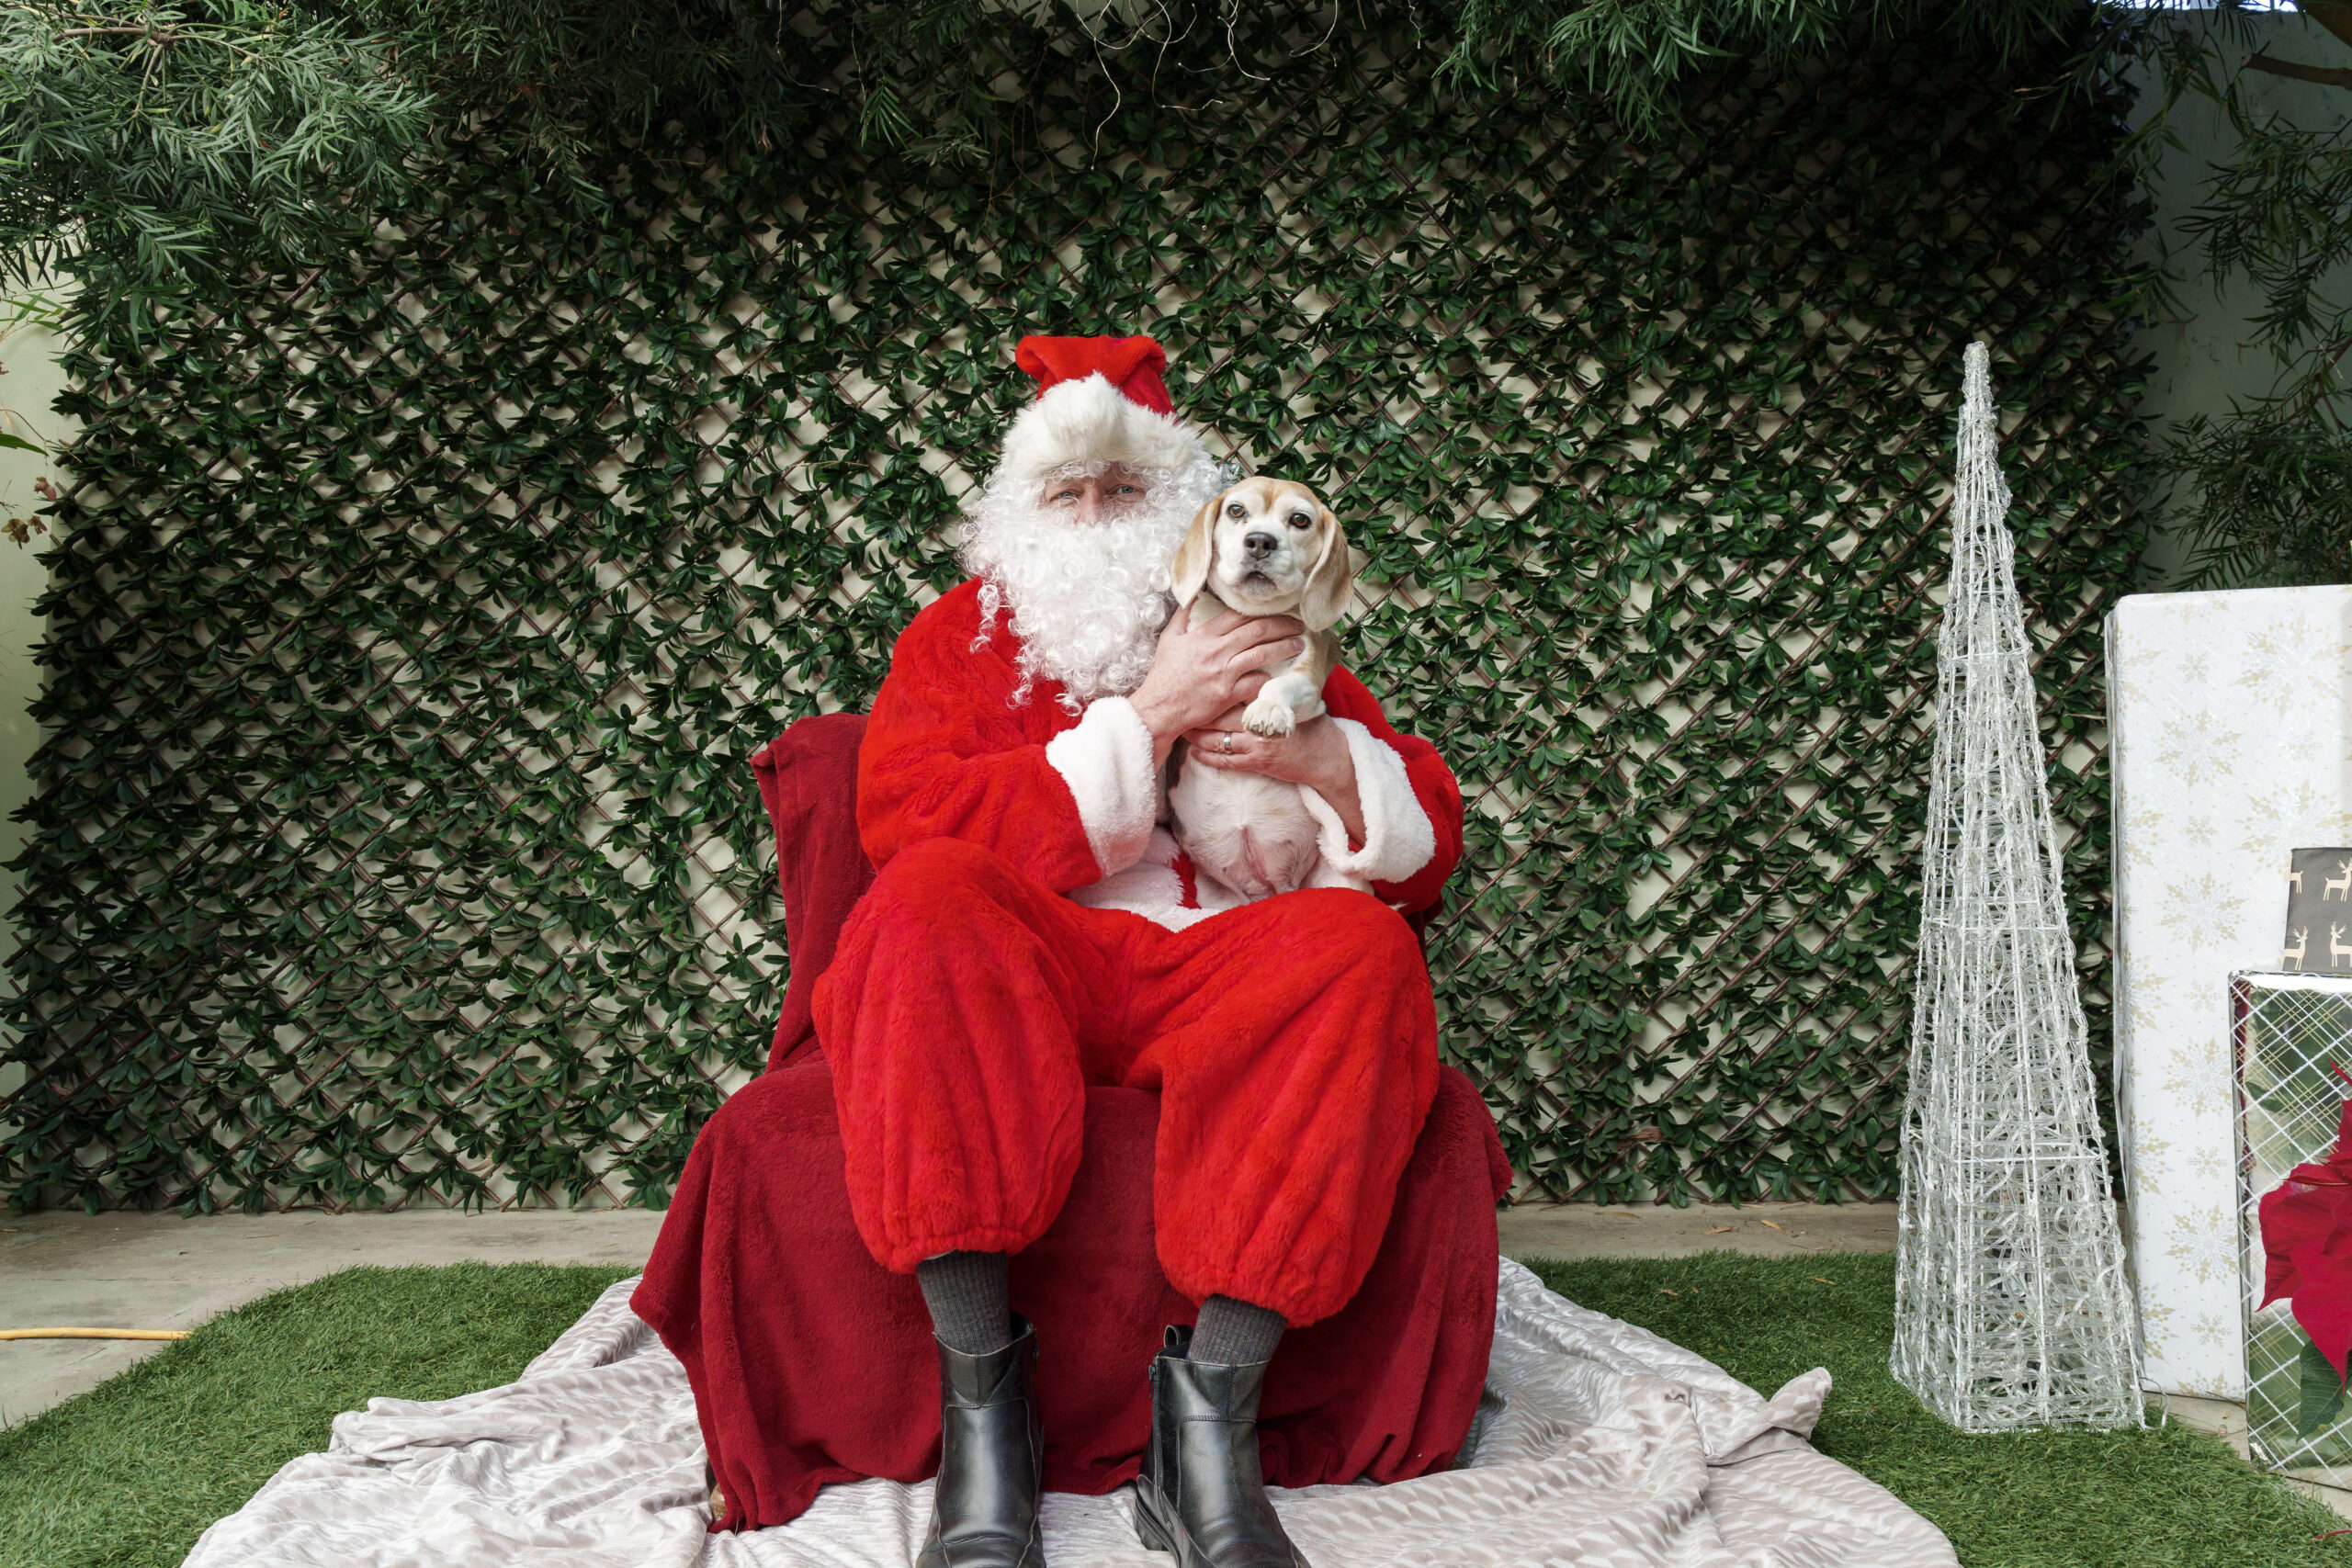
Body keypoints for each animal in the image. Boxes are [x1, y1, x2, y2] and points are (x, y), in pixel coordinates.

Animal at [1164, 476, 1355, 900]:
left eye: (1299, 520)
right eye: (1236, 510)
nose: (1260, 541)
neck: (1253, 615)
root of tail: (1269, 886)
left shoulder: (1308, 679)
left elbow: (1282, 683)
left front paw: (1268, 710)